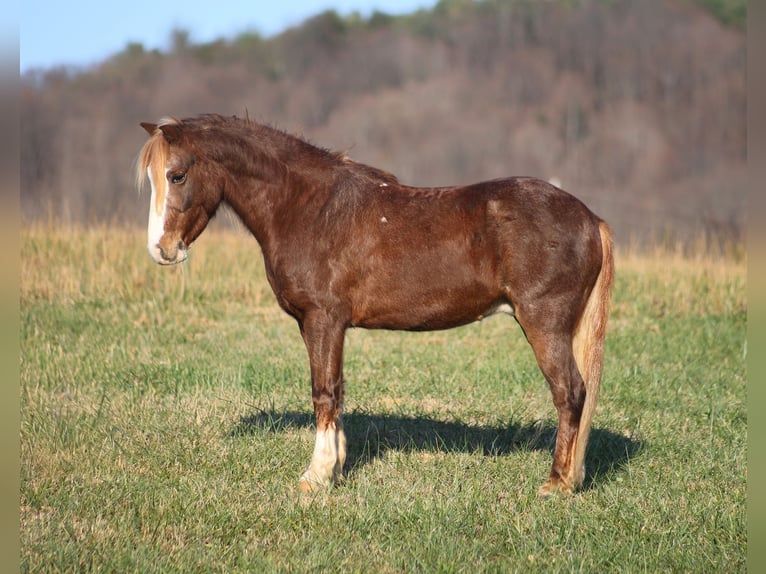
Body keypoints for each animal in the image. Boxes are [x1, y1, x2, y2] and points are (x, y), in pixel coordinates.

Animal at [136, 114, 614, 496]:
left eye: (176, 176)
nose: (160, 250)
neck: (308, 208)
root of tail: (591, 219)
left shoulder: (324, 320)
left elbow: (323, 392)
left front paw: (316, 477)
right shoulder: (321, 325)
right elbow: (337, 390)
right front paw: (336, 467)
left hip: (544, 325)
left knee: (570, 393)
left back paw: (556, 484)